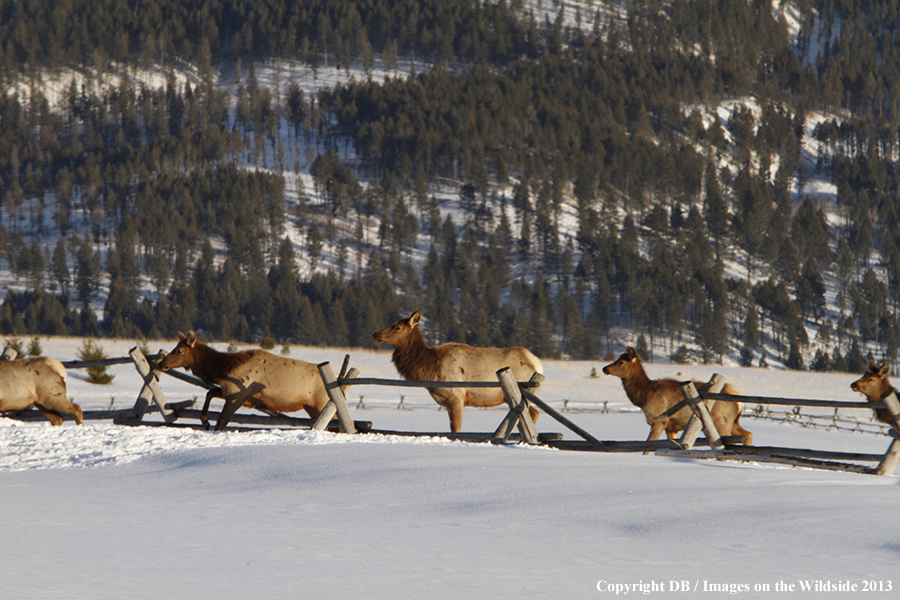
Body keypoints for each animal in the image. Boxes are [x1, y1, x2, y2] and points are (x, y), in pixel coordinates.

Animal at [160, 330, 332, 428]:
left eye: (179, 350)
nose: (163, 363)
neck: (222, 370)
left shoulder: (237, 396)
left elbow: (221, 422)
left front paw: (209, 423)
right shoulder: (230, 392)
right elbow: (210, 393)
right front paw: (205, 421)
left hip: (320, 403)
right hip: (312, 407)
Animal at [370, 310, 540, 432]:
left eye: (397, 327)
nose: (375, 334)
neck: (430, 369)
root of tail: (537, 363)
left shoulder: (457, 397)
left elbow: (456, 429)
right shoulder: (447, 402)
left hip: (521, 393)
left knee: (531, 413)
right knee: (533, 413)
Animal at [604, 346, 752, 446]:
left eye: (621, 362)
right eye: (617, 359)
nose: (604, 368)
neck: (644, 397)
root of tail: (739, 402)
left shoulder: (660, 419)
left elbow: (648, 445)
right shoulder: (671, 427)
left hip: (722, 421)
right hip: (733, 421)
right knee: (747, 434)